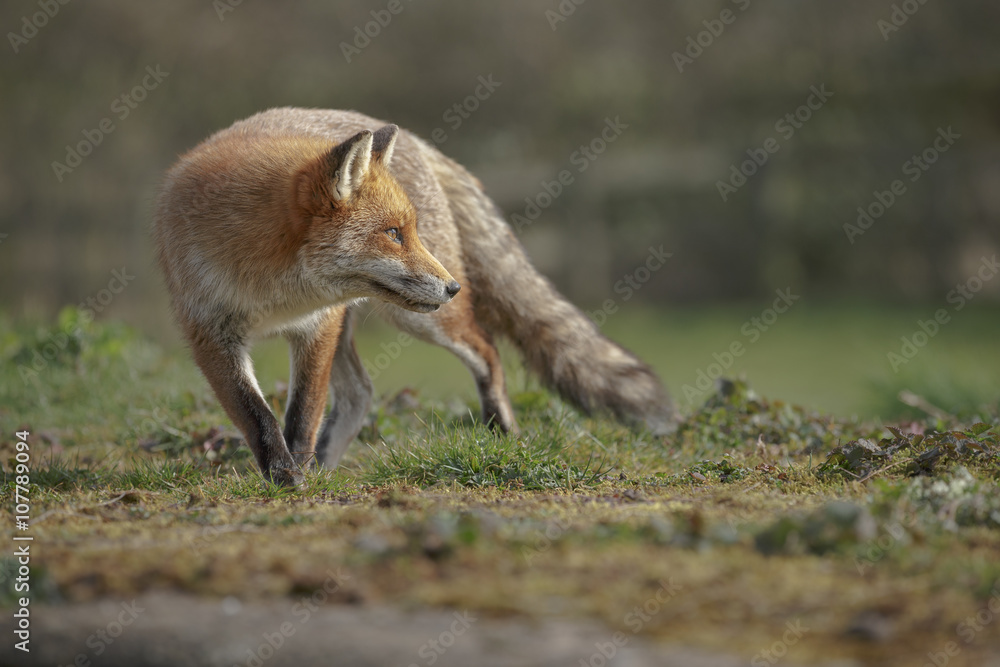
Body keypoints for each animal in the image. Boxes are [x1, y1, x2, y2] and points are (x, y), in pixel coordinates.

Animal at [153, 108, 677, 487]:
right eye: (393, 234)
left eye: (411, 231)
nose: (453, 287)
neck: (275, 293)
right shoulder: (210, 333)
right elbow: (257, 415)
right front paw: (286, 475)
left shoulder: (318, 325)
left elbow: (301, 414)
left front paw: (294, 475)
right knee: (360, 394)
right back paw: (324, 464)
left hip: (421, 321)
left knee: (487, 350)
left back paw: (502, 431)